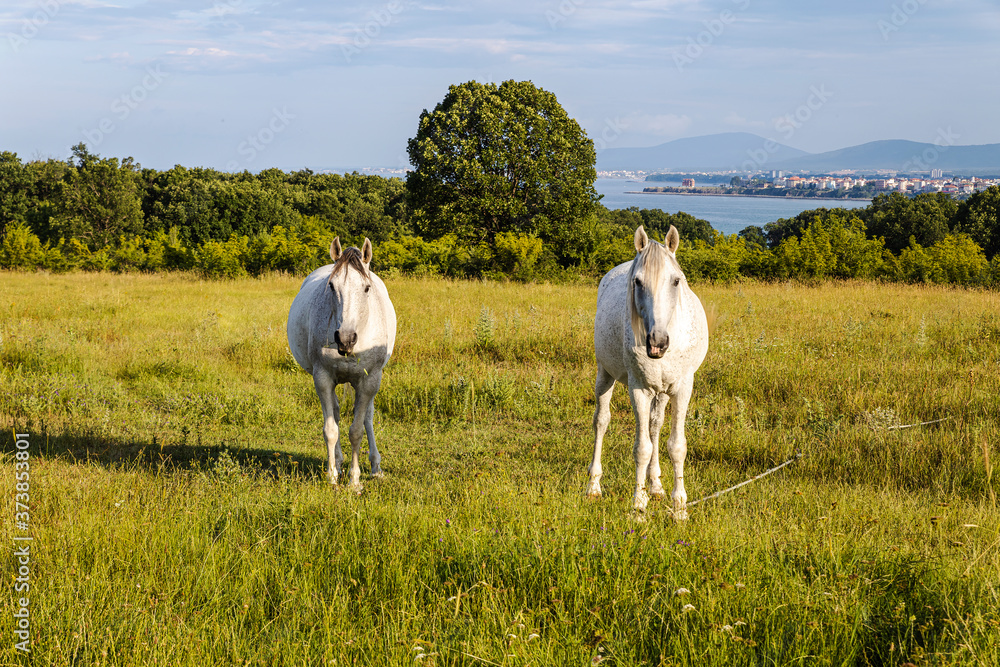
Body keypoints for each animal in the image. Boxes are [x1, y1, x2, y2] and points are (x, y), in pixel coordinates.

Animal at [287, 237, 397, 490]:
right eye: (331, 286)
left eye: (366, 288)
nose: (345, 339)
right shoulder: (323, 378)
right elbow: (330, 429)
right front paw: (332, 476)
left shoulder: (369, 380)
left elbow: (356, 430)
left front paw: (355, 481)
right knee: (335, 413)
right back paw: (337, 460)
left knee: (367, 418)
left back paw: (375, 466)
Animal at [587, 225, 709, 519]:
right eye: (638, 282)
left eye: (676, 281)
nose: (657, 342)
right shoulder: (639, 389)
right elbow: (642, 448)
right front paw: (638, 506)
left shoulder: (682, 388)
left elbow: (676, 446)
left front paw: (679, 506)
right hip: (605, 374)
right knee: (601, 421)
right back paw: (594, 486)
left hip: (661, 392)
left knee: (655, 427)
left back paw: (655, 486)